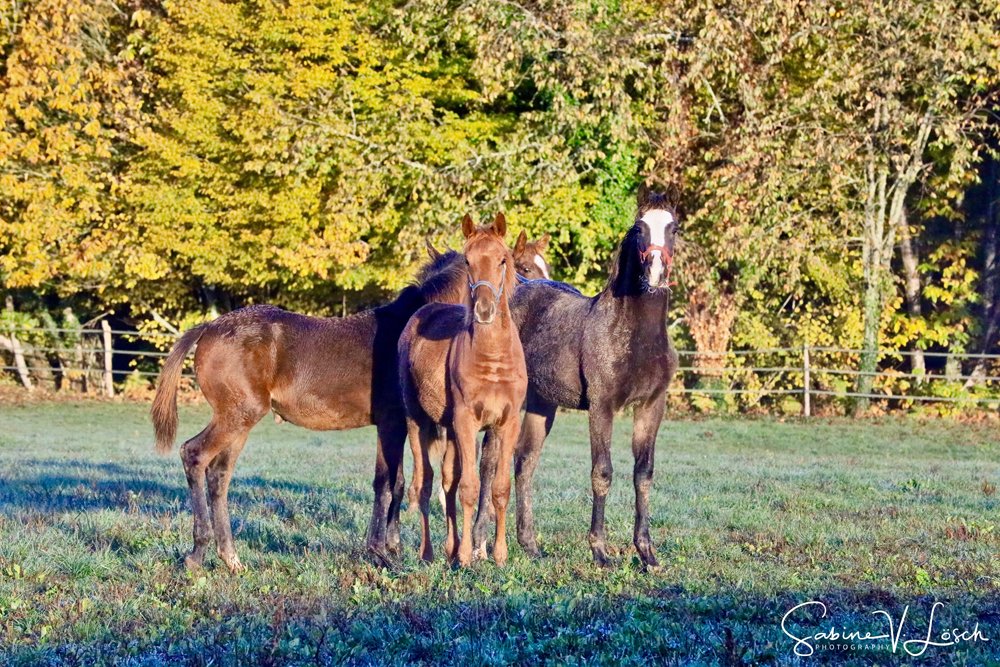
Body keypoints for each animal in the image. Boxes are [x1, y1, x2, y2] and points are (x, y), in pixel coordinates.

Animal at [150, 248, 466, 572]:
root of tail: (208, 328)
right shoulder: (390, 422)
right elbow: (386, 483)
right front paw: (380, 552)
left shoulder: (397, 425)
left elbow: (398, 483)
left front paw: (393, 547)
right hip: (236, 417)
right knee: (194, 455)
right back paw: (197, 553)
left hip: (240, 422)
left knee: (219, 475)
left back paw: (231, 558)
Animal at [399, 213, 526, 567]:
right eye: (468, 260)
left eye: (502, 259)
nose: (484, 310)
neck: (492, 359)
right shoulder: (466, 422)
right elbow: (469, 487)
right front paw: (468, 556)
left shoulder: (506, 424)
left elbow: (498, 488)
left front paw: (498, 554)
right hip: (418, 421)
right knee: (426, 482)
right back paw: (429, 552)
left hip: (450, 430)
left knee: (447, 480)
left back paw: (451, 548)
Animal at [474, 186, 679, 568]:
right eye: (639, 228)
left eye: (673, 228)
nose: (655, 273)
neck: (631, 332)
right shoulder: (602, 406)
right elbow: (602, 472)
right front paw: (599, 551)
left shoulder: (651, 406)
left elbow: (643, 474)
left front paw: (647, 553)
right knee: (490, 461)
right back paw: (479, 544)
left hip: (541, 404)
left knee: (524, 462)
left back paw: (529, 544)